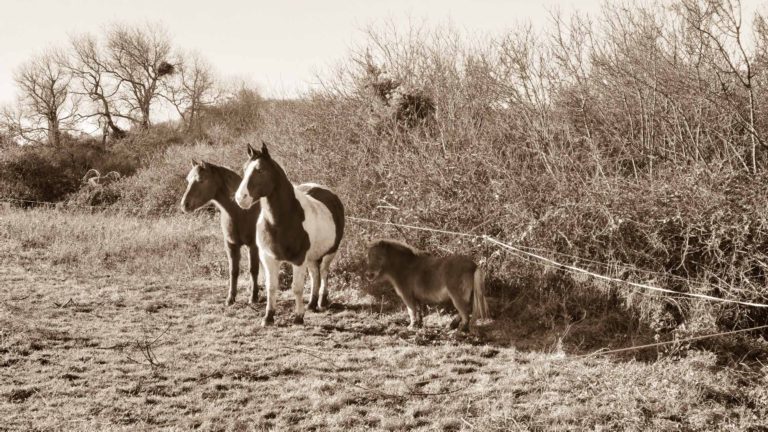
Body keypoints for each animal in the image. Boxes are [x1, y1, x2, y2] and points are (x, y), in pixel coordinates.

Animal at [182, 160, 262, 306]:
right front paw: (230, 298)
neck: (240, 212)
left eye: (201, 180)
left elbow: (253, 269)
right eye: (188, 180)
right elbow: (233, 271)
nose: (184, 204)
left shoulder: (252, 245)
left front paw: (253, 297)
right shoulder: (230, 245)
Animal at [232, 143, 344, 326]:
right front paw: (268, 317)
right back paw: (312, 304)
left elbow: (296, 288)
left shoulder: (298, 259)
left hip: (330, 253)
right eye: (244, 168)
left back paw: (321, 302)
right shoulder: (268, 258)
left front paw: (298, 317)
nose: (240, 198)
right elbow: (271, 287)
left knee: (324, 273)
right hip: (311, 257)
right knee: (315, 275)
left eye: (260, 170)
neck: (281, 221)